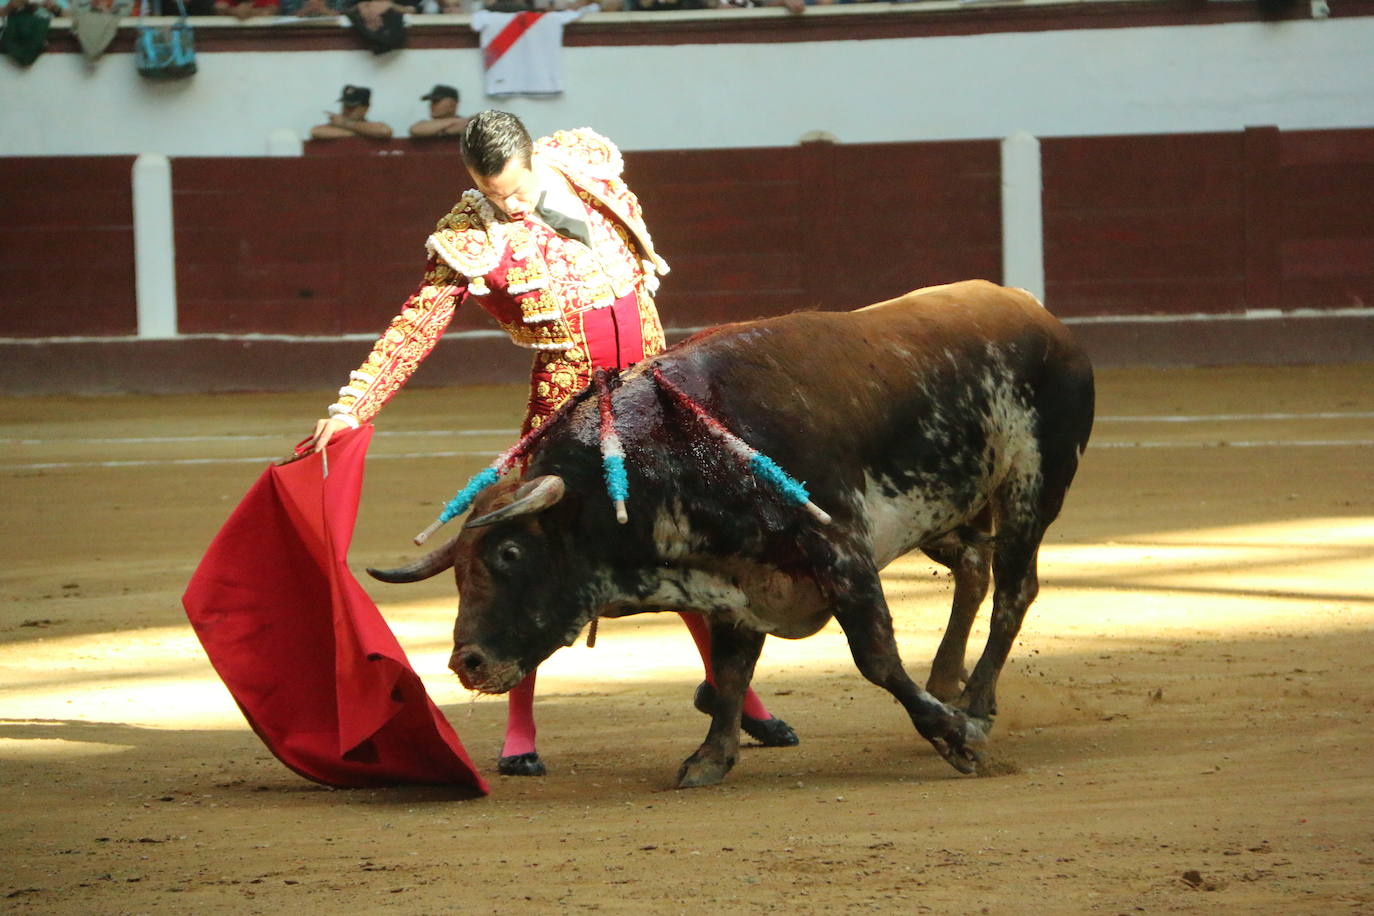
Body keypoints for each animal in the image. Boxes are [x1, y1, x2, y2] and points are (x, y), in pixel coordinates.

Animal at [368, 280, 1093, 791]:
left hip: (1033, 485)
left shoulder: (843, 556)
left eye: (511, 552)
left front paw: (956, 739)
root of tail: (1040, 316)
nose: (465, 663)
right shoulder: (738, 583)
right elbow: (730, 670)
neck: (672, 452)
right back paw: (948, 679)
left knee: (1014, 589)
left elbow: (876, 659)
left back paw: (975, 701)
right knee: (974, 565)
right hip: (946, 512)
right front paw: (710, 758)